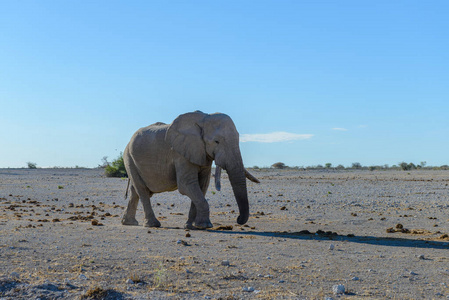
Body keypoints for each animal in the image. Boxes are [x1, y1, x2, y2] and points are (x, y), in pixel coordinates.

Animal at [121, 110, 260, 230]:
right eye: (216, 141)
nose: (238, 219)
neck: (203, 119)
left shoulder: (202, 153)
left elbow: (202, 185)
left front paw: (191, 226)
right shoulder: (180, 154)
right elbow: (186, 185)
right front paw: (204, 226)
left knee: (135, 191)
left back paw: (129, 223)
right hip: (129, 158)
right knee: (142, 190)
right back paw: (152, 224)